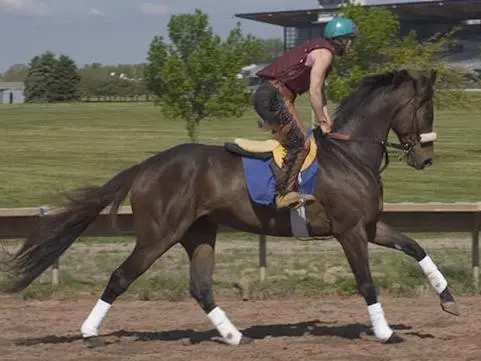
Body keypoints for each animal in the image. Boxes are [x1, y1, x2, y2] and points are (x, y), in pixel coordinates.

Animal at [0, 67, 458, 346]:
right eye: (427, 108)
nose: (425, 159)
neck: (351, 154)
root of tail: (147, 165)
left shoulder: (368, 226)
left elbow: (416, 247)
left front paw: (448, 298)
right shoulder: (349, 232)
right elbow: (366, 281)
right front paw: (385, 332)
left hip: (199, 233)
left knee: (200, 287)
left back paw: (236, 336)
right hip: (158, 235)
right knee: (120, 277)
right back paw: (89, 332)